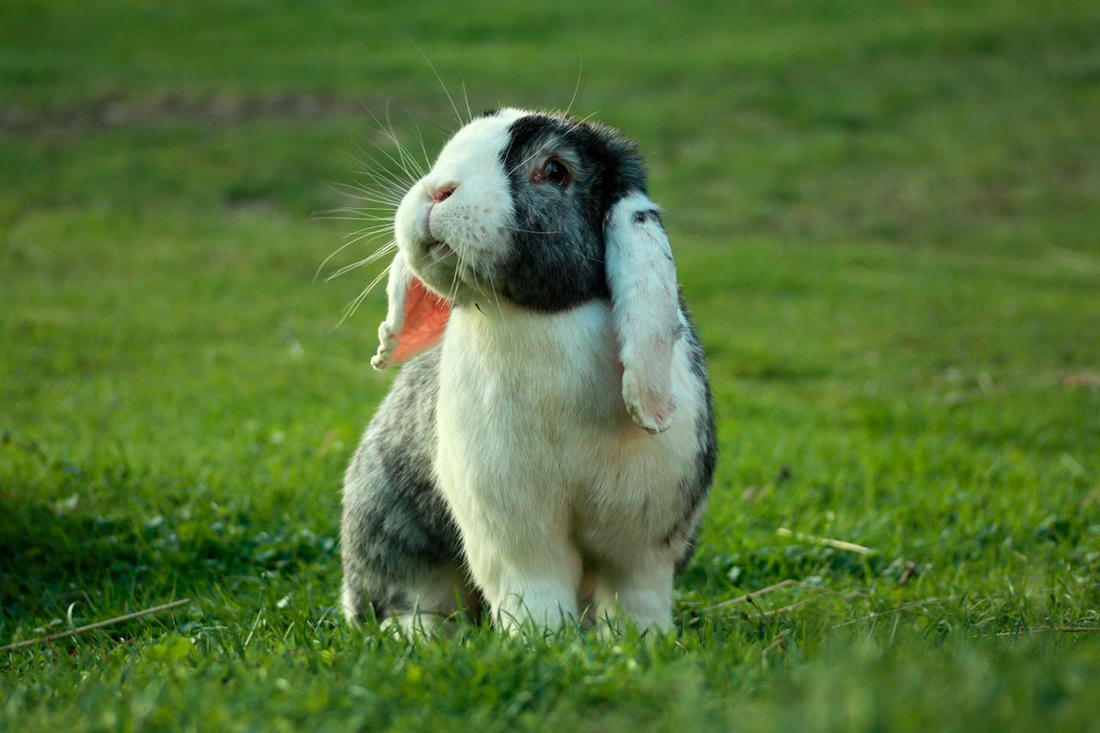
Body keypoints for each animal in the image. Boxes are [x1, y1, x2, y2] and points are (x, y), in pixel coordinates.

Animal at [340, 108, 716, 634]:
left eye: (555, 171)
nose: (437, 191)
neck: (538, 316)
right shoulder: (512, 525)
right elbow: (534, 589)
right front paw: (541, 640)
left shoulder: (645, 536)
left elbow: (635, 596)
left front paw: (640, 644)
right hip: (389, 530)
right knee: (408, 600)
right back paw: (422, 636)